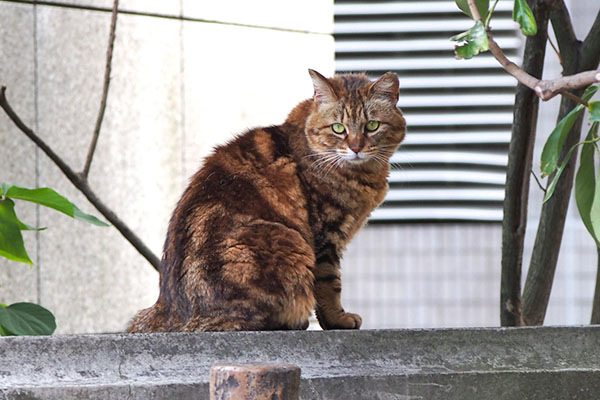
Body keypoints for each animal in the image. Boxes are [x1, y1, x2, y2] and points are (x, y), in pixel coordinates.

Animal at [128, 70, 406, 332]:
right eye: (338, 128)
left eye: (372, 125)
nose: (356, 147)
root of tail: (169, 312)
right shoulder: (325, 238)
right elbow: (330, 285)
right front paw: (339, 320)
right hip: (284, 242)